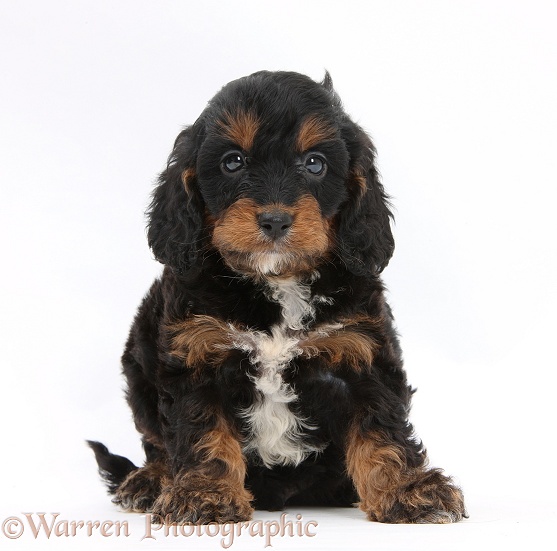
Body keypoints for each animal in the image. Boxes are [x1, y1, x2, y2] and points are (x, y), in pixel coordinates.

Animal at [89, 71, 466, 524]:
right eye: (233, 162)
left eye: (315, 163)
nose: (275, 220)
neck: (277, 281)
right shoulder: (196, 355)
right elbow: (201, 432)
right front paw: (204, 494)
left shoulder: (361, 352)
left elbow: (382, 426)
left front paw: (408, 489)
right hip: (140, 355)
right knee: (154, 439)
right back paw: (150, 480)